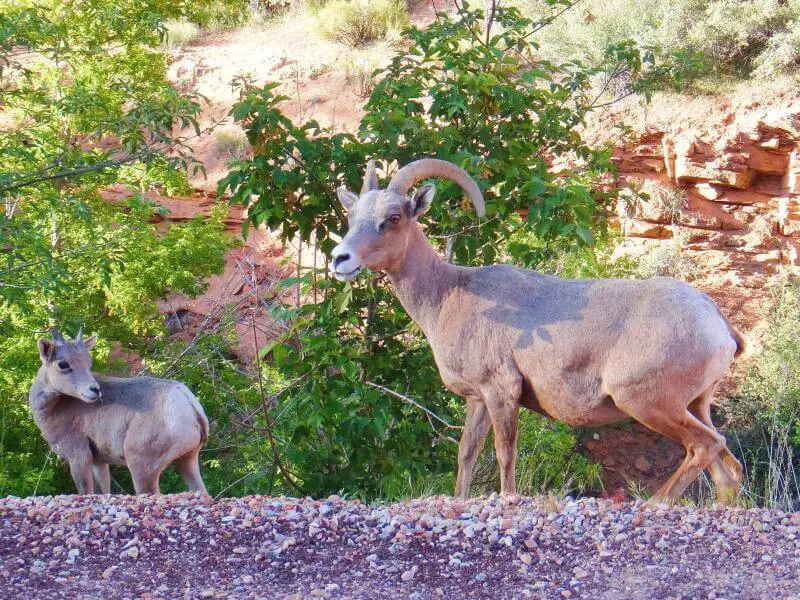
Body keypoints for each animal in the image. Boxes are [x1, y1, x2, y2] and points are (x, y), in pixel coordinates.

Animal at [30, 330, 209, 494]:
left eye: (88, 362)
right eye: (63, 364)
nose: (95, 390)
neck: (55, 408)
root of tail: (187, 402)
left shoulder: (79, 457)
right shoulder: (98, 462)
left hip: (142, 469)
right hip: (187, 460)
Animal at [330, 158, 744, 502]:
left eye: (394, 217)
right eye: (351, 216)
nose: (340, 259)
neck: (447, 297)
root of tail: (717, 324)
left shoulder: (501, 390)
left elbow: (505, 454)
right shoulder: (477, 399)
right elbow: (466, 454)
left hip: (649, 403)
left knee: (703, 446)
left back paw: (656, 503)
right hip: (695, 405)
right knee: (728, 470)